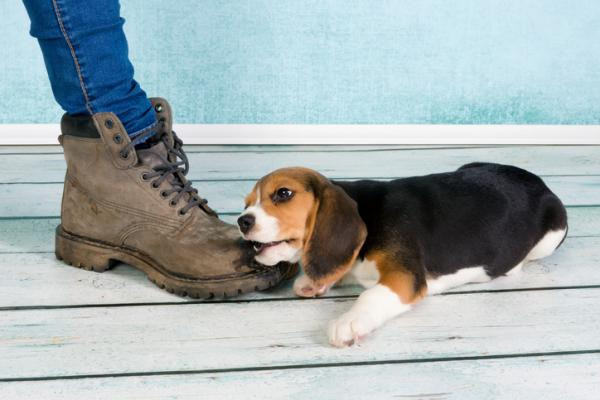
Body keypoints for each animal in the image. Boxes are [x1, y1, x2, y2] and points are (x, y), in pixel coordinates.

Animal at [236, 162, 568, 346]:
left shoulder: (404, 276)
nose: (242, 221)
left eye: (283, 193)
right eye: (247, 203)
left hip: (553, 232)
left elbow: (370, 295)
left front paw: (348, 322)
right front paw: (316, 282)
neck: (367, 215)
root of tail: (537, 179)